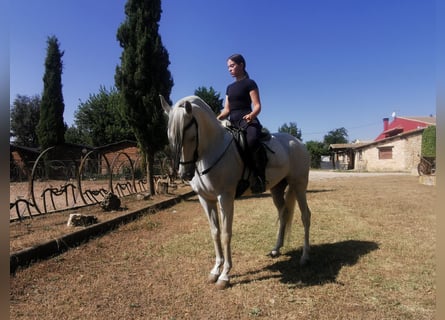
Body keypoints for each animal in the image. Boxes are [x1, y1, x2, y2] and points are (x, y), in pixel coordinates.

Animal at [160, 95, 312, 290]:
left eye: (192, 137)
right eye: (170, 137)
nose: (185, 174)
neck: (212, 149)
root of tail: (297, 142)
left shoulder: (225, 197)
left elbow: (226, 234)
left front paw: (225, 275)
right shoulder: (205, 199)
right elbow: (215, 232)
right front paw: (215, 270)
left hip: (299, 185)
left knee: (305, 216)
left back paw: (305, 257)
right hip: (277, 188)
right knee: (283, 214)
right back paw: (275, 249)